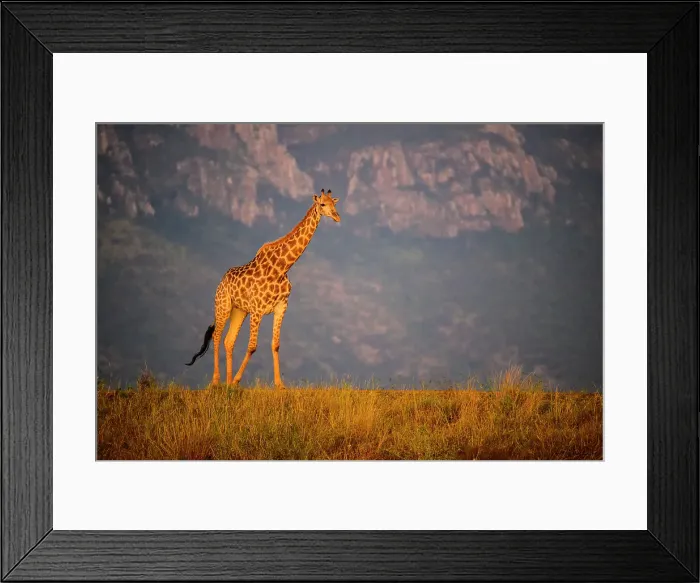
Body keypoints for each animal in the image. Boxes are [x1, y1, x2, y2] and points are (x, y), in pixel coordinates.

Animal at [185, 189, 341, 388]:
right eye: (322, 204)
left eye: (334, 203)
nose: (337, 217)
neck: (282, 268)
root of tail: (222, 281)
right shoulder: (257, 310)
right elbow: (252, 346)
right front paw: (237, 381)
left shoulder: (281, 306)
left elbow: (275, 344)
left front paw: (279, 385)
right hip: (223, 306)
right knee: (217, 336)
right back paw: (216, 381)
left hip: (240, 310)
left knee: (229, 341)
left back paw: (227, 381)